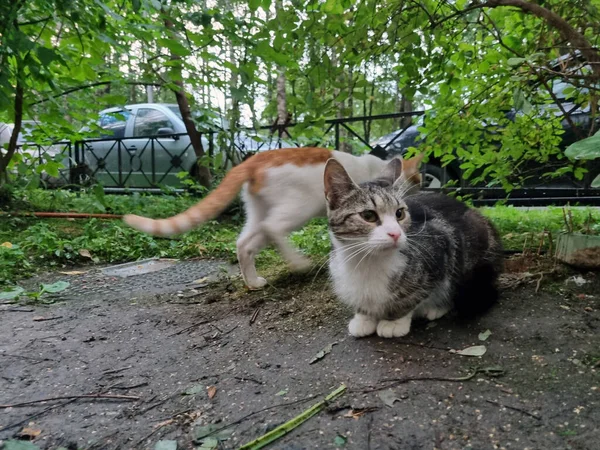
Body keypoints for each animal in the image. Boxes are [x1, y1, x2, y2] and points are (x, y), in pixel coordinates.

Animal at [123, 148, 422, 288]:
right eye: (419, 177)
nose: (422, 186)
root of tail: (253, 159)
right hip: (298, 207)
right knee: (272, 227)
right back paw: (299, 263)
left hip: (257, 211)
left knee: (245, 242)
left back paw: (252, 282)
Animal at [324, 158, 502, 338]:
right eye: (368, 216)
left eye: (399, 213)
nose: (395, 233)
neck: (368, 261)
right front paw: (363, 318)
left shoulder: (440, 246)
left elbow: (413, 296)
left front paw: (394, 322)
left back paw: (437, 308)